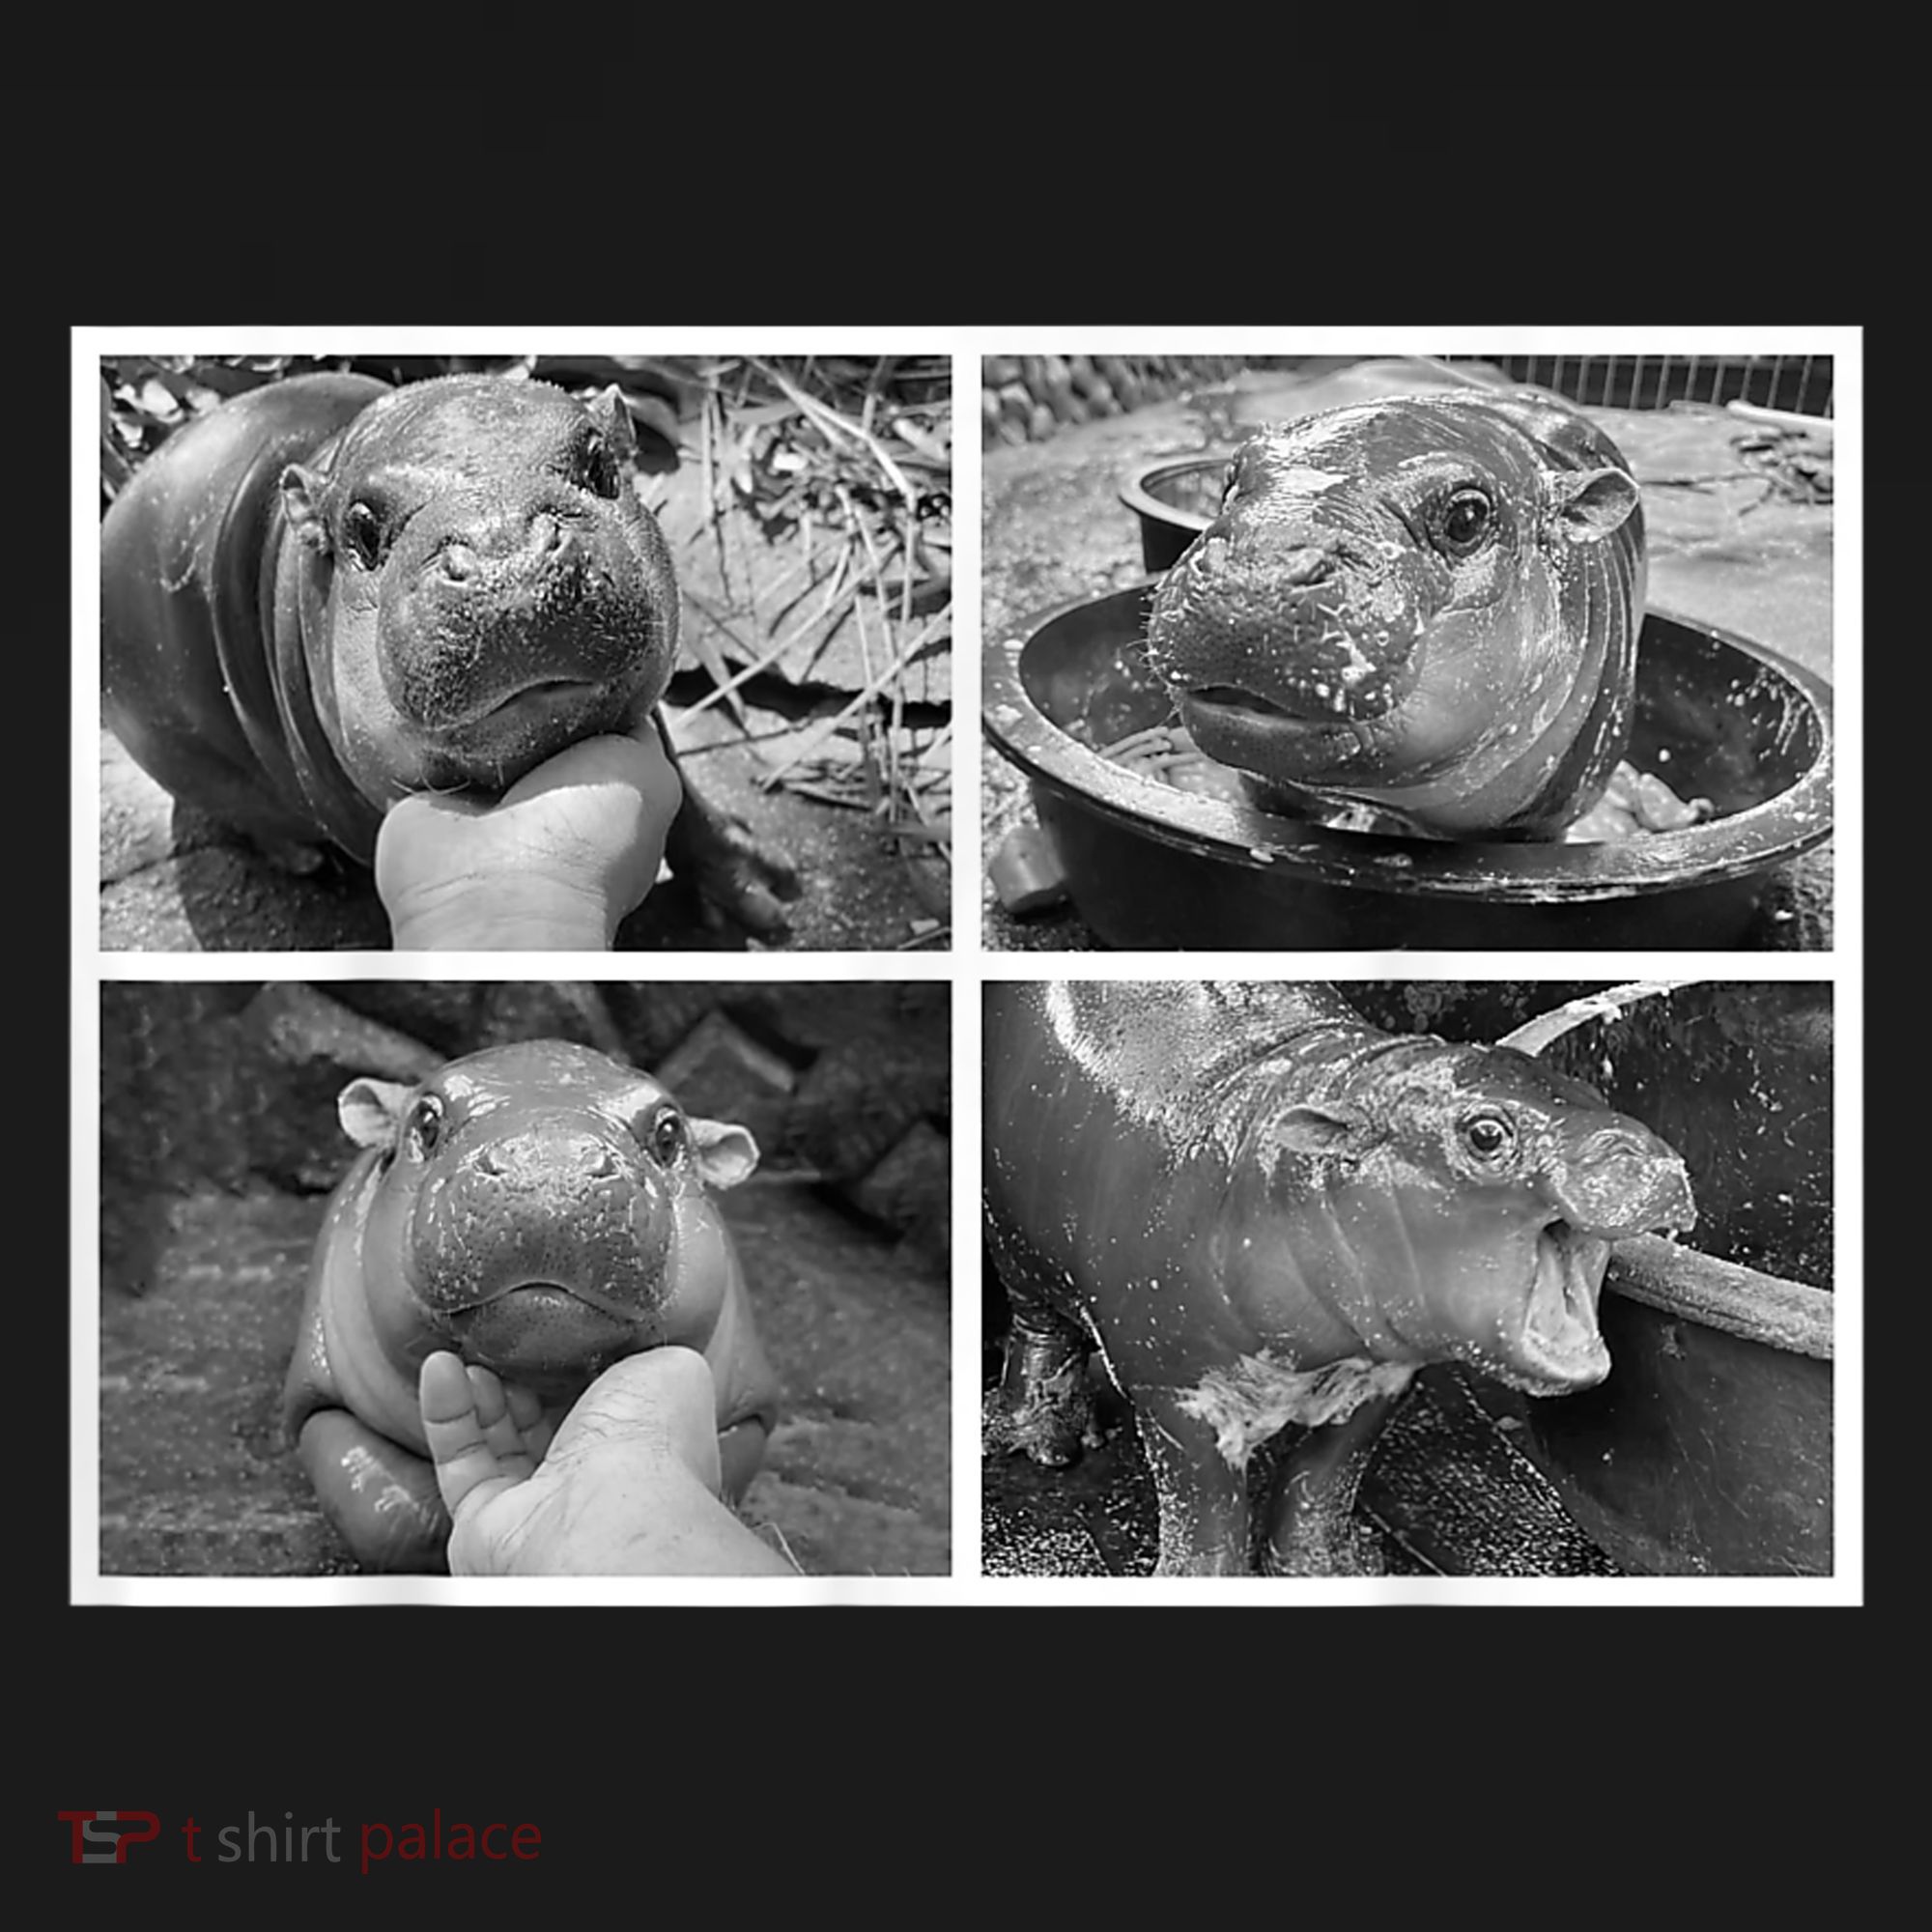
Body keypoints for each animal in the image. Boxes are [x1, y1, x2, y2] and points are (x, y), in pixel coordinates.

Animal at [101, 371, 797, 933]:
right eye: (361, 527)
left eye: (602, 465)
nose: (506, 550)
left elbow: (684, 792)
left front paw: (768, 896)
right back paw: (304, 860)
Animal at [282, 1039, 781, 1571]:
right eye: (426, 1120)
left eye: (669, 1133)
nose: (549, 1167)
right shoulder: (319, 1401)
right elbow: (391, 1515)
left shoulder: (748, 1413)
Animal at [982, 982, 1696, 1575]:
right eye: (1487, 1135)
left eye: (1598, 1094)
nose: (1648, 1156)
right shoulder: (1172, 1388)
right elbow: (1204, 1511)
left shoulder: (1382, 1376)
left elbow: (1323, 1480)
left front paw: (1330, 1570)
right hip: (1014, 1244)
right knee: (1038, 1332)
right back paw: (1044, 1443)